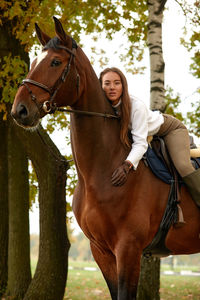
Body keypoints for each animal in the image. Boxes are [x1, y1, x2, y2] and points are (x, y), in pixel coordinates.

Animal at [11, 17, 200, 300]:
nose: (19, 110)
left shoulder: (128, 249)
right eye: (33, 62)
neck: (101, 171)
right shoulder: (101, 251)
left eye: (55, 62)